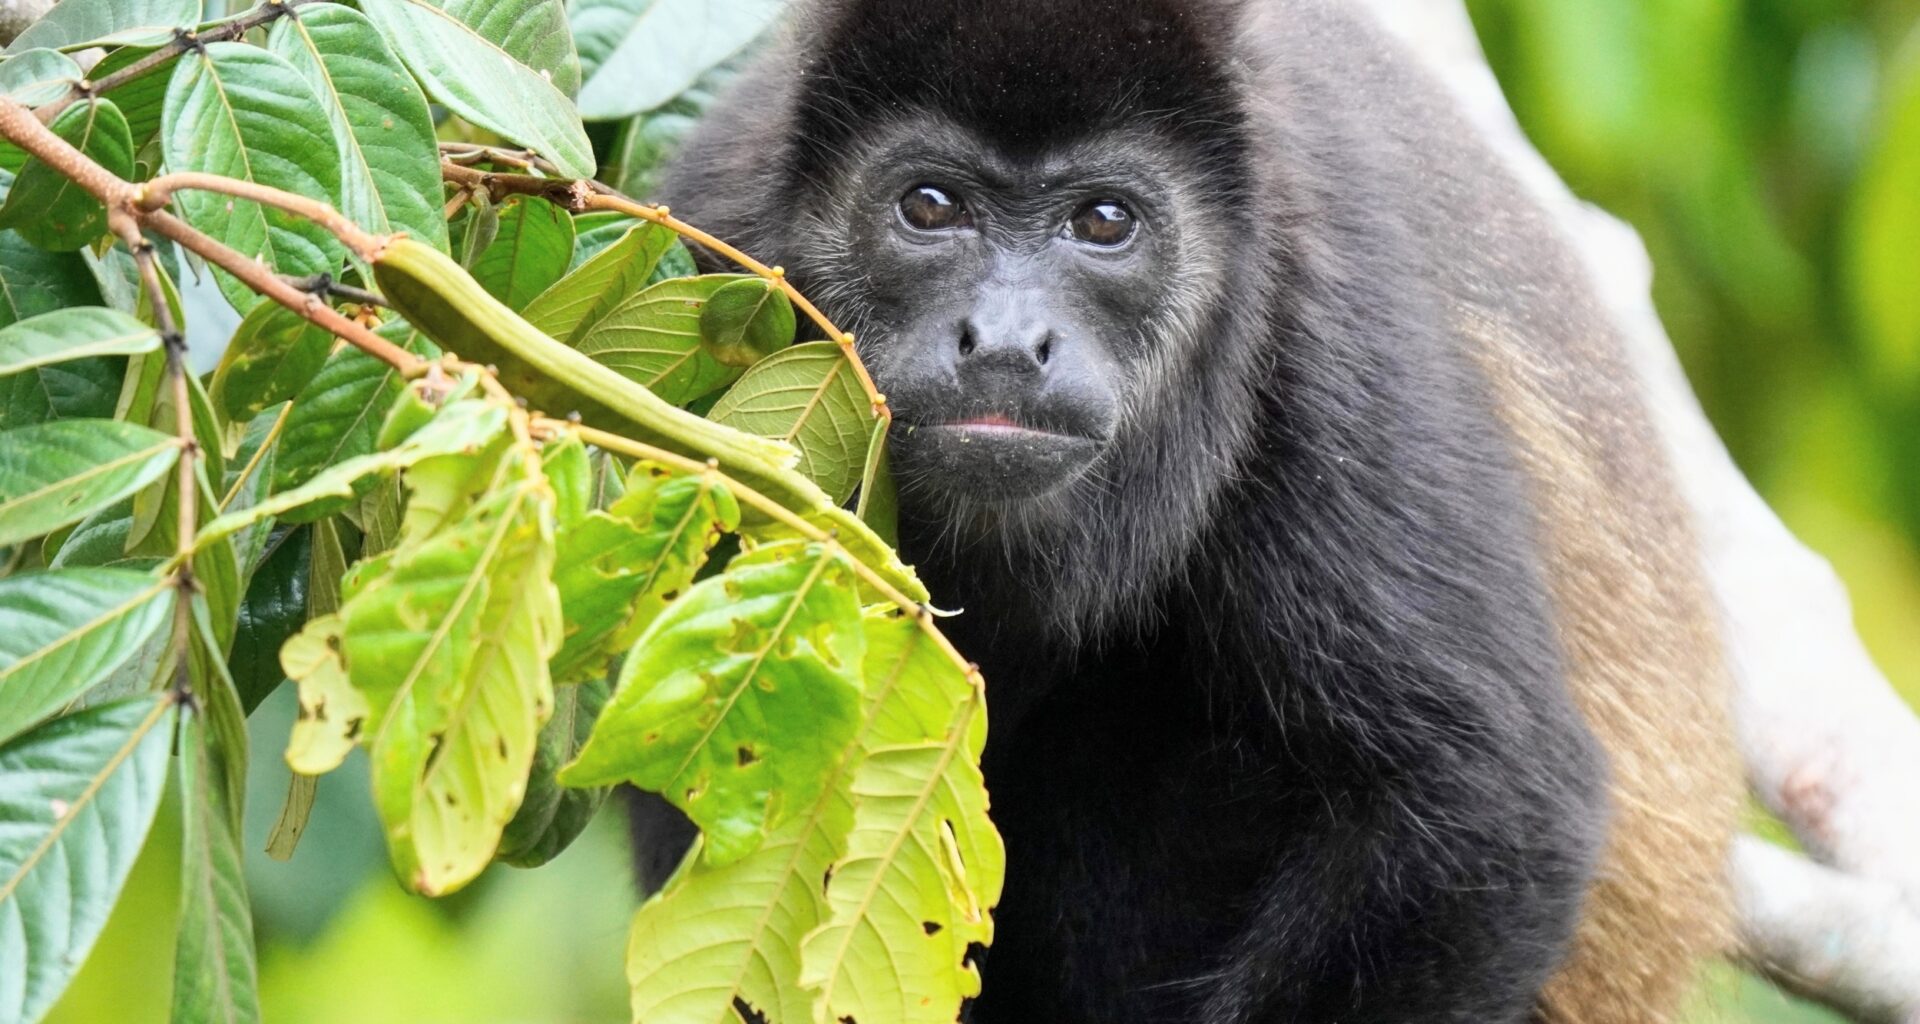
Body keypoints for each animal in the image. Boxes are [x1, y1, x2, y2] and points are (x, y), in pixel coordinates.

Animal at [634, 0, 1745, 1020]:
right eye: (930, 204)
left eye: (1105, 221)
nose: (1007, 339)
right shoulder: (719, 228)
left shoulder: (1331, 323)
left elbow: (1489, 798)